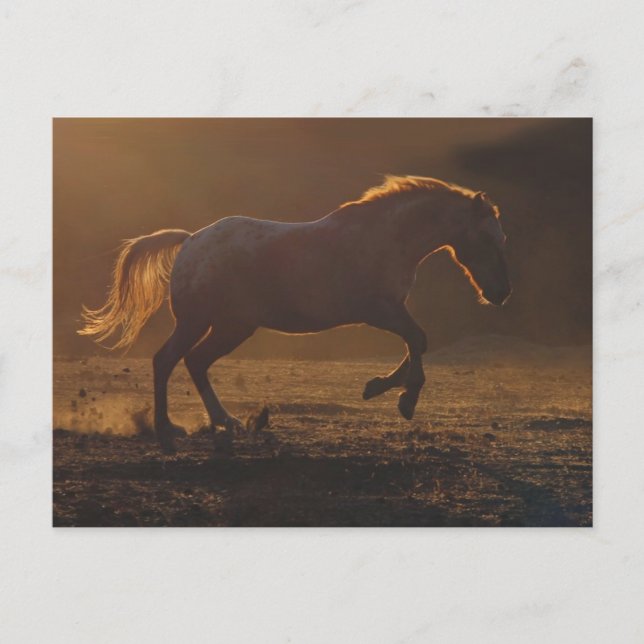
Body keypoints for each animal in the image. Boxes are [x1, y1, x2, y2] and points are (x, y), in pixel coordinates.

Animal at [79, 175, 511, 453]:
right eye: (486, 237)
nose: (501, 293)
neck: (386, 238)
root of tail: (190, 242)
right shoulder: (378, 310)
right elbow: (417, 340)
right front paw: (404, 399)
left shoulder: (390, 310)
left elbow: (415, 343)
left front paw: (378, 387)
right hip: (197, 322)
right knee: (166, 360)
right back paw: (167, 433)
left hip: (232, 327)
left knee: (195, 362)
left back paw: (225, 423)